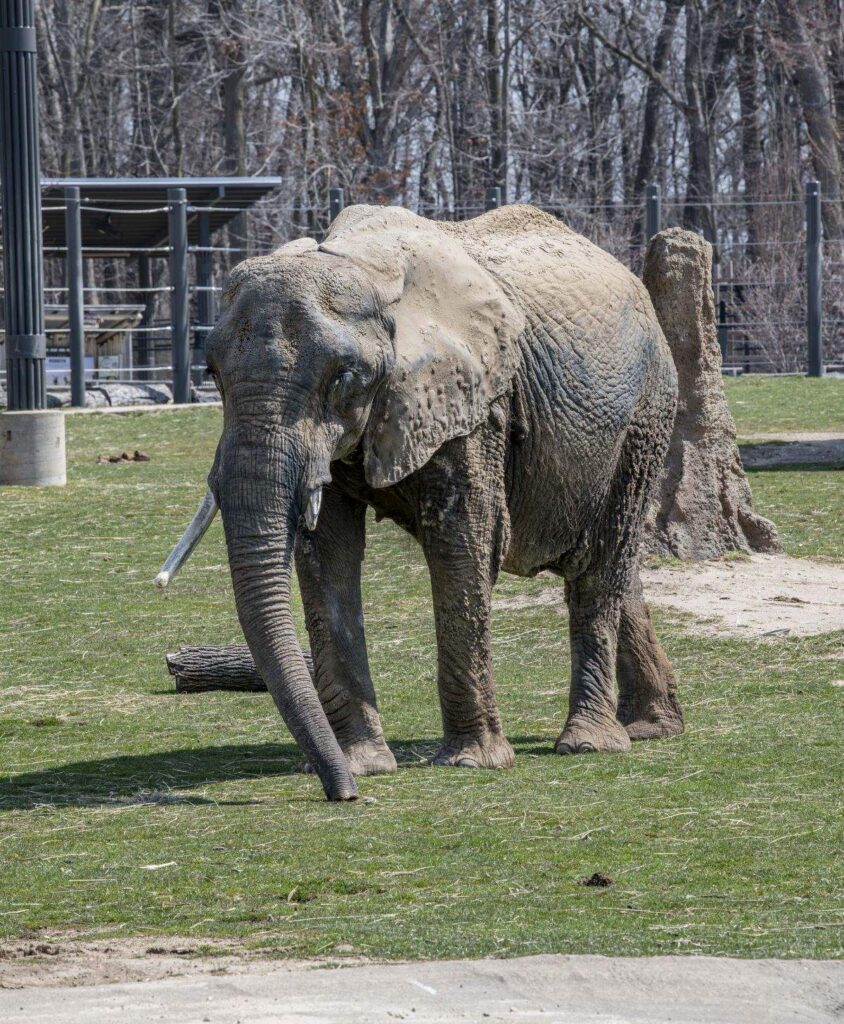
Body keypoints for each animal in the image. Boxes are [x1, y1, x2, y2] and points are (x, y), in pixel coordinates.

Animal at [158, 203, 685, 801]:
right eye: (212, 374)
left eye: (343, 377)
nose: (343, 795)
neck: (362, 266)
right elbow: (327, 554)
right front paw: (364, 763)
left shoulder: (475, 403)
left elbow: (464, 542)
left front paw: (472, 763)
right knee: (608, 566)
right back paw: (651, 727)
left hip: (645, 416)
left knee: (600, 563)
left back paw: (590, 743)